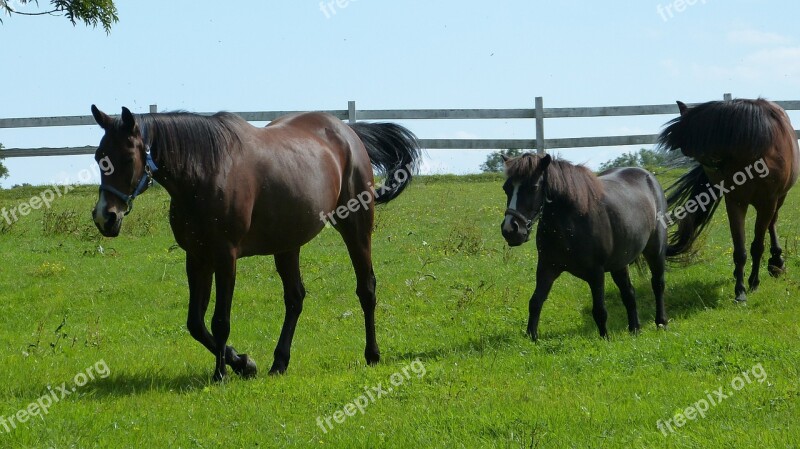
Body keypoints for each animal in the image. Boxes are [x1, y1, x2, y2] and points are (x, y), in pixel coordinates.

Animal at [90, 106, 422, 382]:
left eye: (125, 157)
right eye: (98, 157)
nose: (105, 216)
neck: (207, 172)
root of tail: (348, 132)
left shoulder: (225, 257)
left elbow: (220, 320)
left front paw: (222, 374)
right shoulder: (197, 257)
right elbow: (196, 323)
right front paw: (242, 363)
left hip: (356, 227)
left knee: (366, 288)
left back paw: (372, 354)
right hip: (287, 244)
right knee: (295, 298)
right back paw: (280, 362)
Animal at [500, 154, 668, 340]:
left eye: (533, 187)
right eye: (506, 188)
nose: (510, 230)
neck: (571, 221)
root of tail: (649, 176)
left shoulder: (596, 272)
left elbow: (600, 310)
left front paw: (605, 339)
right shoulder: (547, 267)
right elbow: (536, 301)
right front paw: (532, 337)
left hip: (655, 250)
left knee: (657, 284)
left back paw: (661, 322)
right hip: (619, 263)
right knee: (629, 293)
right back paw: (634, 329)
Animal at [660, 98, 796, 300]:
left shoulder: (768, 202)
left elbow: (757, 246)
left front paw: (754, 282)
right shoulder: (735, 202)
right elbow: (740, 249)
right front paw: (740, 290)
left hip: (778, 199)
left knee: (772, 223)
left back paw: (776, 262)